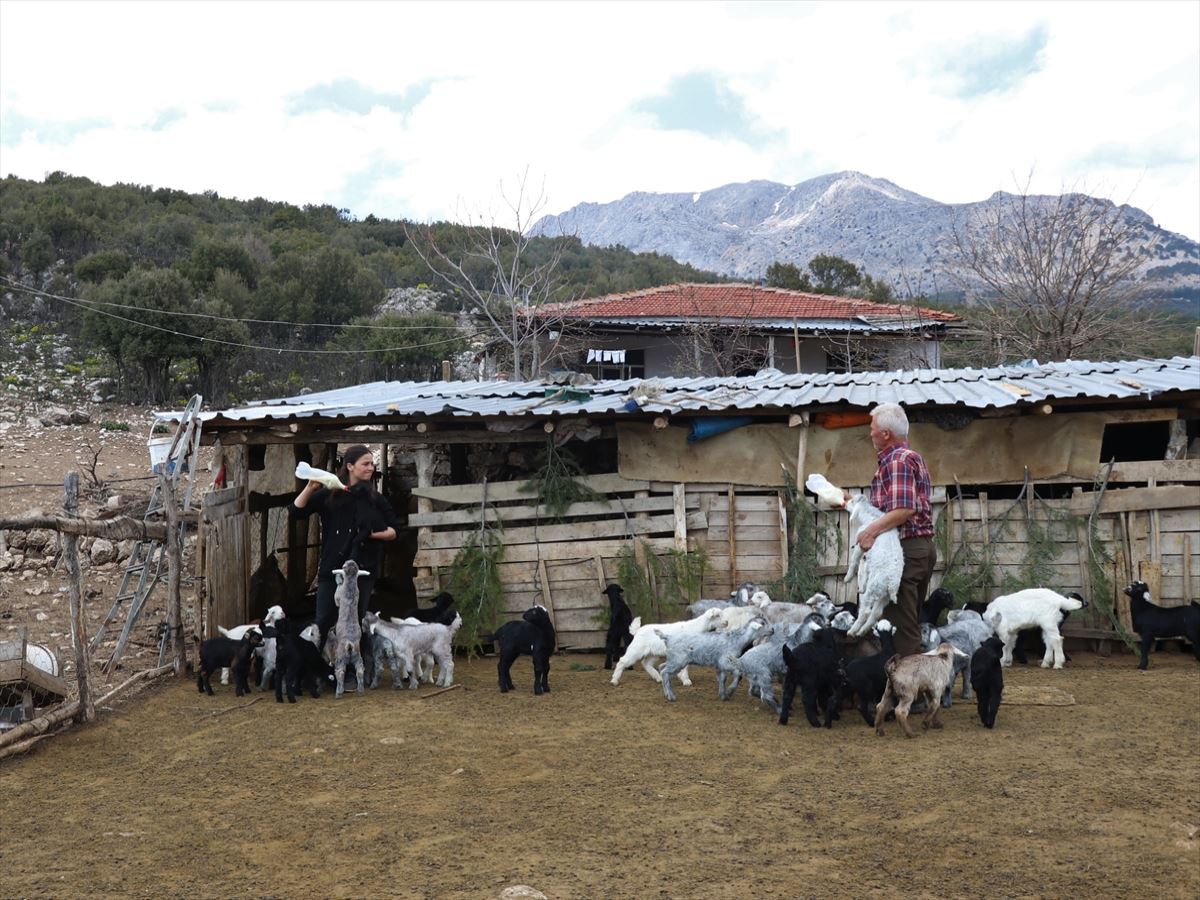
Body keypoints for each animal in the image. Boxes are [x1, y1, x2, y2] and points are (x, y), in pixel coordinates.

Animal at [844, 494, 902, 643]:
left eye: (852, 501)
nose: (845, 503)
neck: (872, 517)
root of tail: (891, 584)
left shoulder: (861, 543)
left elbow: (854, 560)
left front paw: (847, 578)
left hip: (872, 590)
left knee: (865, 611)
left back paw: (852, 631)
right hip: (884, 596)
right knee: (876, 613)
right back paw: (861, 632)